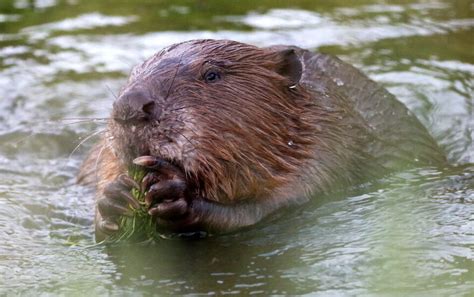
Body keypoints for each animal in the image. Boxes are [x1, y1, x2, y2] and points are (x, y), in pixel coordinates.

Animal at [77, 38, 444, 240]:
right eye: (132, 75)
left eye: (212, 74)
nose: (130, 106)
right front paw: (115, 198)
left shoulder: (328, 149)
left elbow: (265, 209)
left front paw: (173, 193)